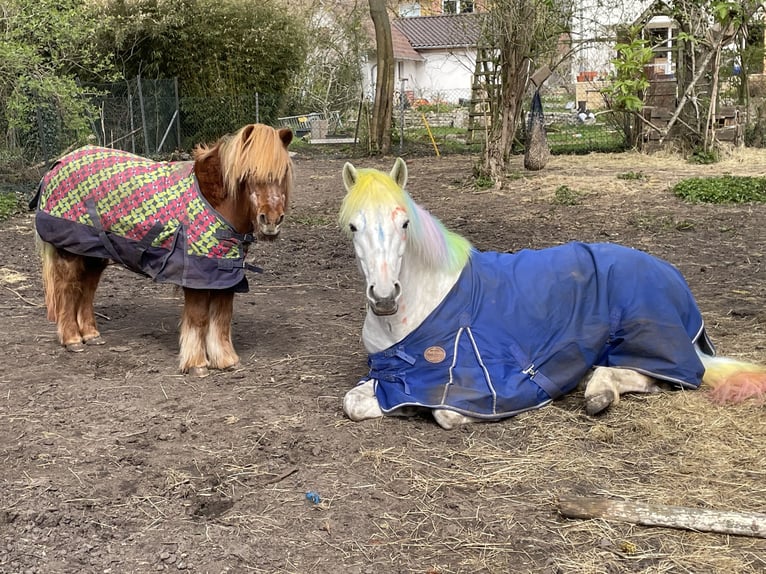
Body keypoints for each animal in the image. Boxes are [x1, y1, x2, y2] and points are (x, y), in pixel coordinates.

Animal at [32, 124, 294, 378]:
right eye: (249, 173)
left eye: (283, 174)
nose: (271, 221)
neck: (215, 203)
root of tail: (58, 164)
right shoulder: (197, 276)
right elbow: (199, 318)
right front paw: (197, 364)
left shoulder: (225, 274)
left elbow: (222, 317)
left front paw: (225, 360)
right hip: (71, 252)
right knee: (67, 290)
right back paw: (72, 339)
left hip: (94, 254)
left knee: (86, 290)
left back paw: (90, 335)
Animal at [340, 160, 766, 430]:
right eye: (353, 227)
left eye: (404, 223)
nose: (384, 297)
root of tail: (671, 275)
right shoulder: (389, 375)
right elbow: (354, 402)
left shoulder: (483, 383)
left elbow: (446, 413)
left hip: (648, 338)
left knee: (664, 376)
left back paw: (597, 391)